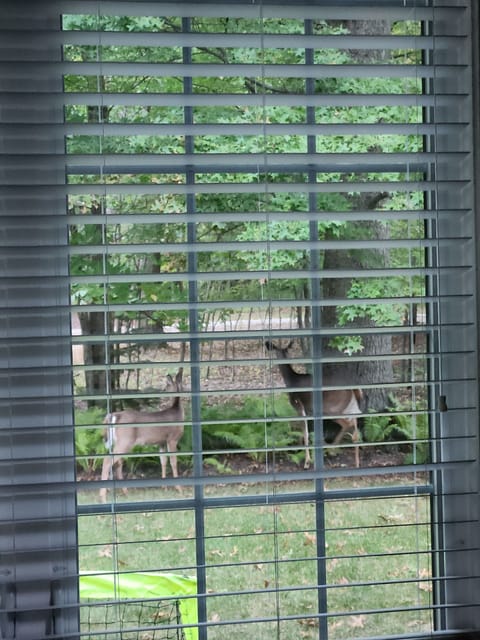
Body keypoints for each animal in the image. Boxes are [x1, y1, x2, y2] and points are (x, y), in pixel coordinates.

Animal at [99, 368, 184, 502]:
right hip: (125, 441)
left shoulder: (161, 442)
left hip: (120, 442)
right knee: (107, 460)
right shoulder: (172, 439)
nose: (162, 392)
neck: (177, 411)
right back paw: (103, 496)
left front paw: (164, 487)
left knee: (117, 462)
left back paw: (124, 492)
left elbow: (163, 461)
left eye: (166, 385)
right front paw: (179, 488)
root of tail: (115, 415)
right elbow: (173, 462)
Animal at [264, 340, 362, 470]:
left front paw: (307, 462)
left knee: (348, 424)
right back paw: (354, 461)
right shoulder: (309, 410)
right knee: (355, 425)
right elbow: (304, 431)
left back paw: (332, 449)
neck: (291, 381)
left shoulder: (298, 406)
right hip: (348, 407)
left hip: (332, 409)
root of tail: (354, 389)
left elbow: (305, 431)